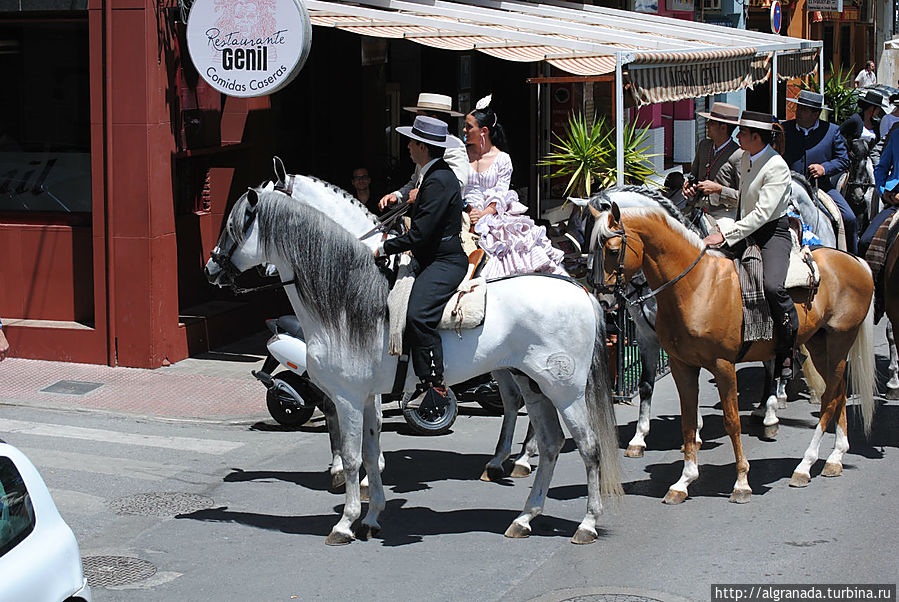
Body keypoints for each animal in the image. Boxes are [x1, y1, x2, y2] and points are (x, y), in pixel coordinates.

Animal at [207, 178, 624, 544]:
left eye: (233, 226)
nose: (211, 268)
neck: (345, 303)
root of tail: (579, 289)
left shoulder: (348, 398)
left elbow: (353, 456)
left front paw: (345, 523)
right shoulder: (367, 397)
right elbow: (371, 454)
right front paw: (372, 517)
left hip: (566, 391)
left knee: (589, 448)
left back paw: (586, 524)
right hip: (532, 383)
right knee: (549, 441)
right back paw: (523, 516)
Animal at [588, 203, 876, 502]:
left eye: (612, 250)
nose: (603, 300)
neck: (696, 285)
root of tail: (856, 261)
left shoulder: (723, 365)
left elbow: (732, 421)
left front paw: (741, 482)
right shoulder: (682, 365)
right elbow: (688, 421)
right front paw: (683, 481)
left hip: (841, 340)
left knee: (830, 397)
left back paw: (805, 465)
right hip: (821, 344)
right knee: (838, 392)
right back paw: (835, 457)